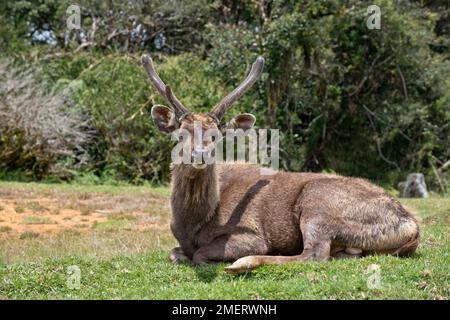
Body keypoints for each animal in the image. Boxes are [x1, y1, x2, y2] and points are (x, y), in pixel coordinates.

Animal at [141, 53, 418, 274]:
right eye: (179, 134)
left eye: (216, 136)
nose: (199, 154)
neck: (193, 224)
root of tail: (411, 225)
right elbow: (173, 253)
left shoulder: (251, 235)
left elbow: (199, 254)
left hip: (318, 203)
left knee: (314, 254)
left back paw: (244, 263)